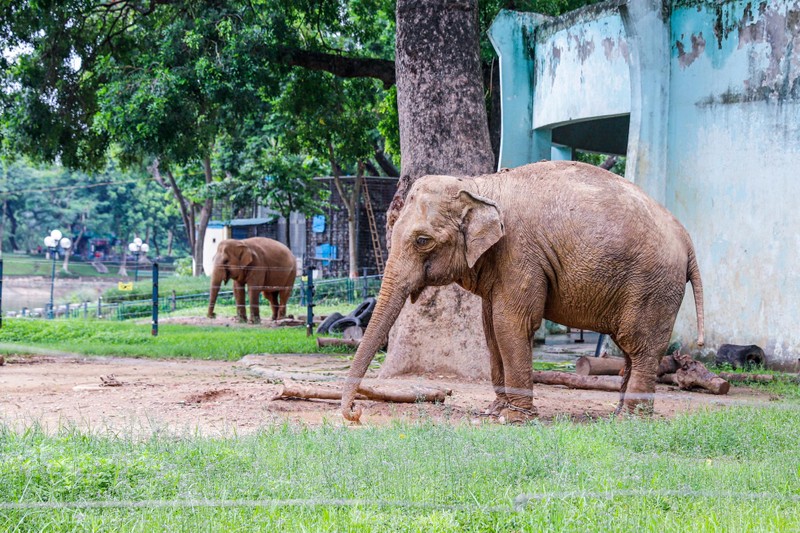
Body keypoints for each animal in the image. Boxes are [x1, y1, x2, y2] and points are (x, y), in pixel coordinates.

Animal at [340, 160, 704, 422]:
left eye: (422, 240)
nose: (354, 414)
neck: (477, 185)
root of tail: (687, 241)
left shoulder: (519, 253)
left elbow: (509, 323)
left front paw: (515, 418)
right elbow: (489, 328)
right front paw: (495, 411)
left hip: (653, 286)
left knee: (640, 346)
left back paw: (631, 419)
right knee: (630, 348)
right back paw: (618, 413)